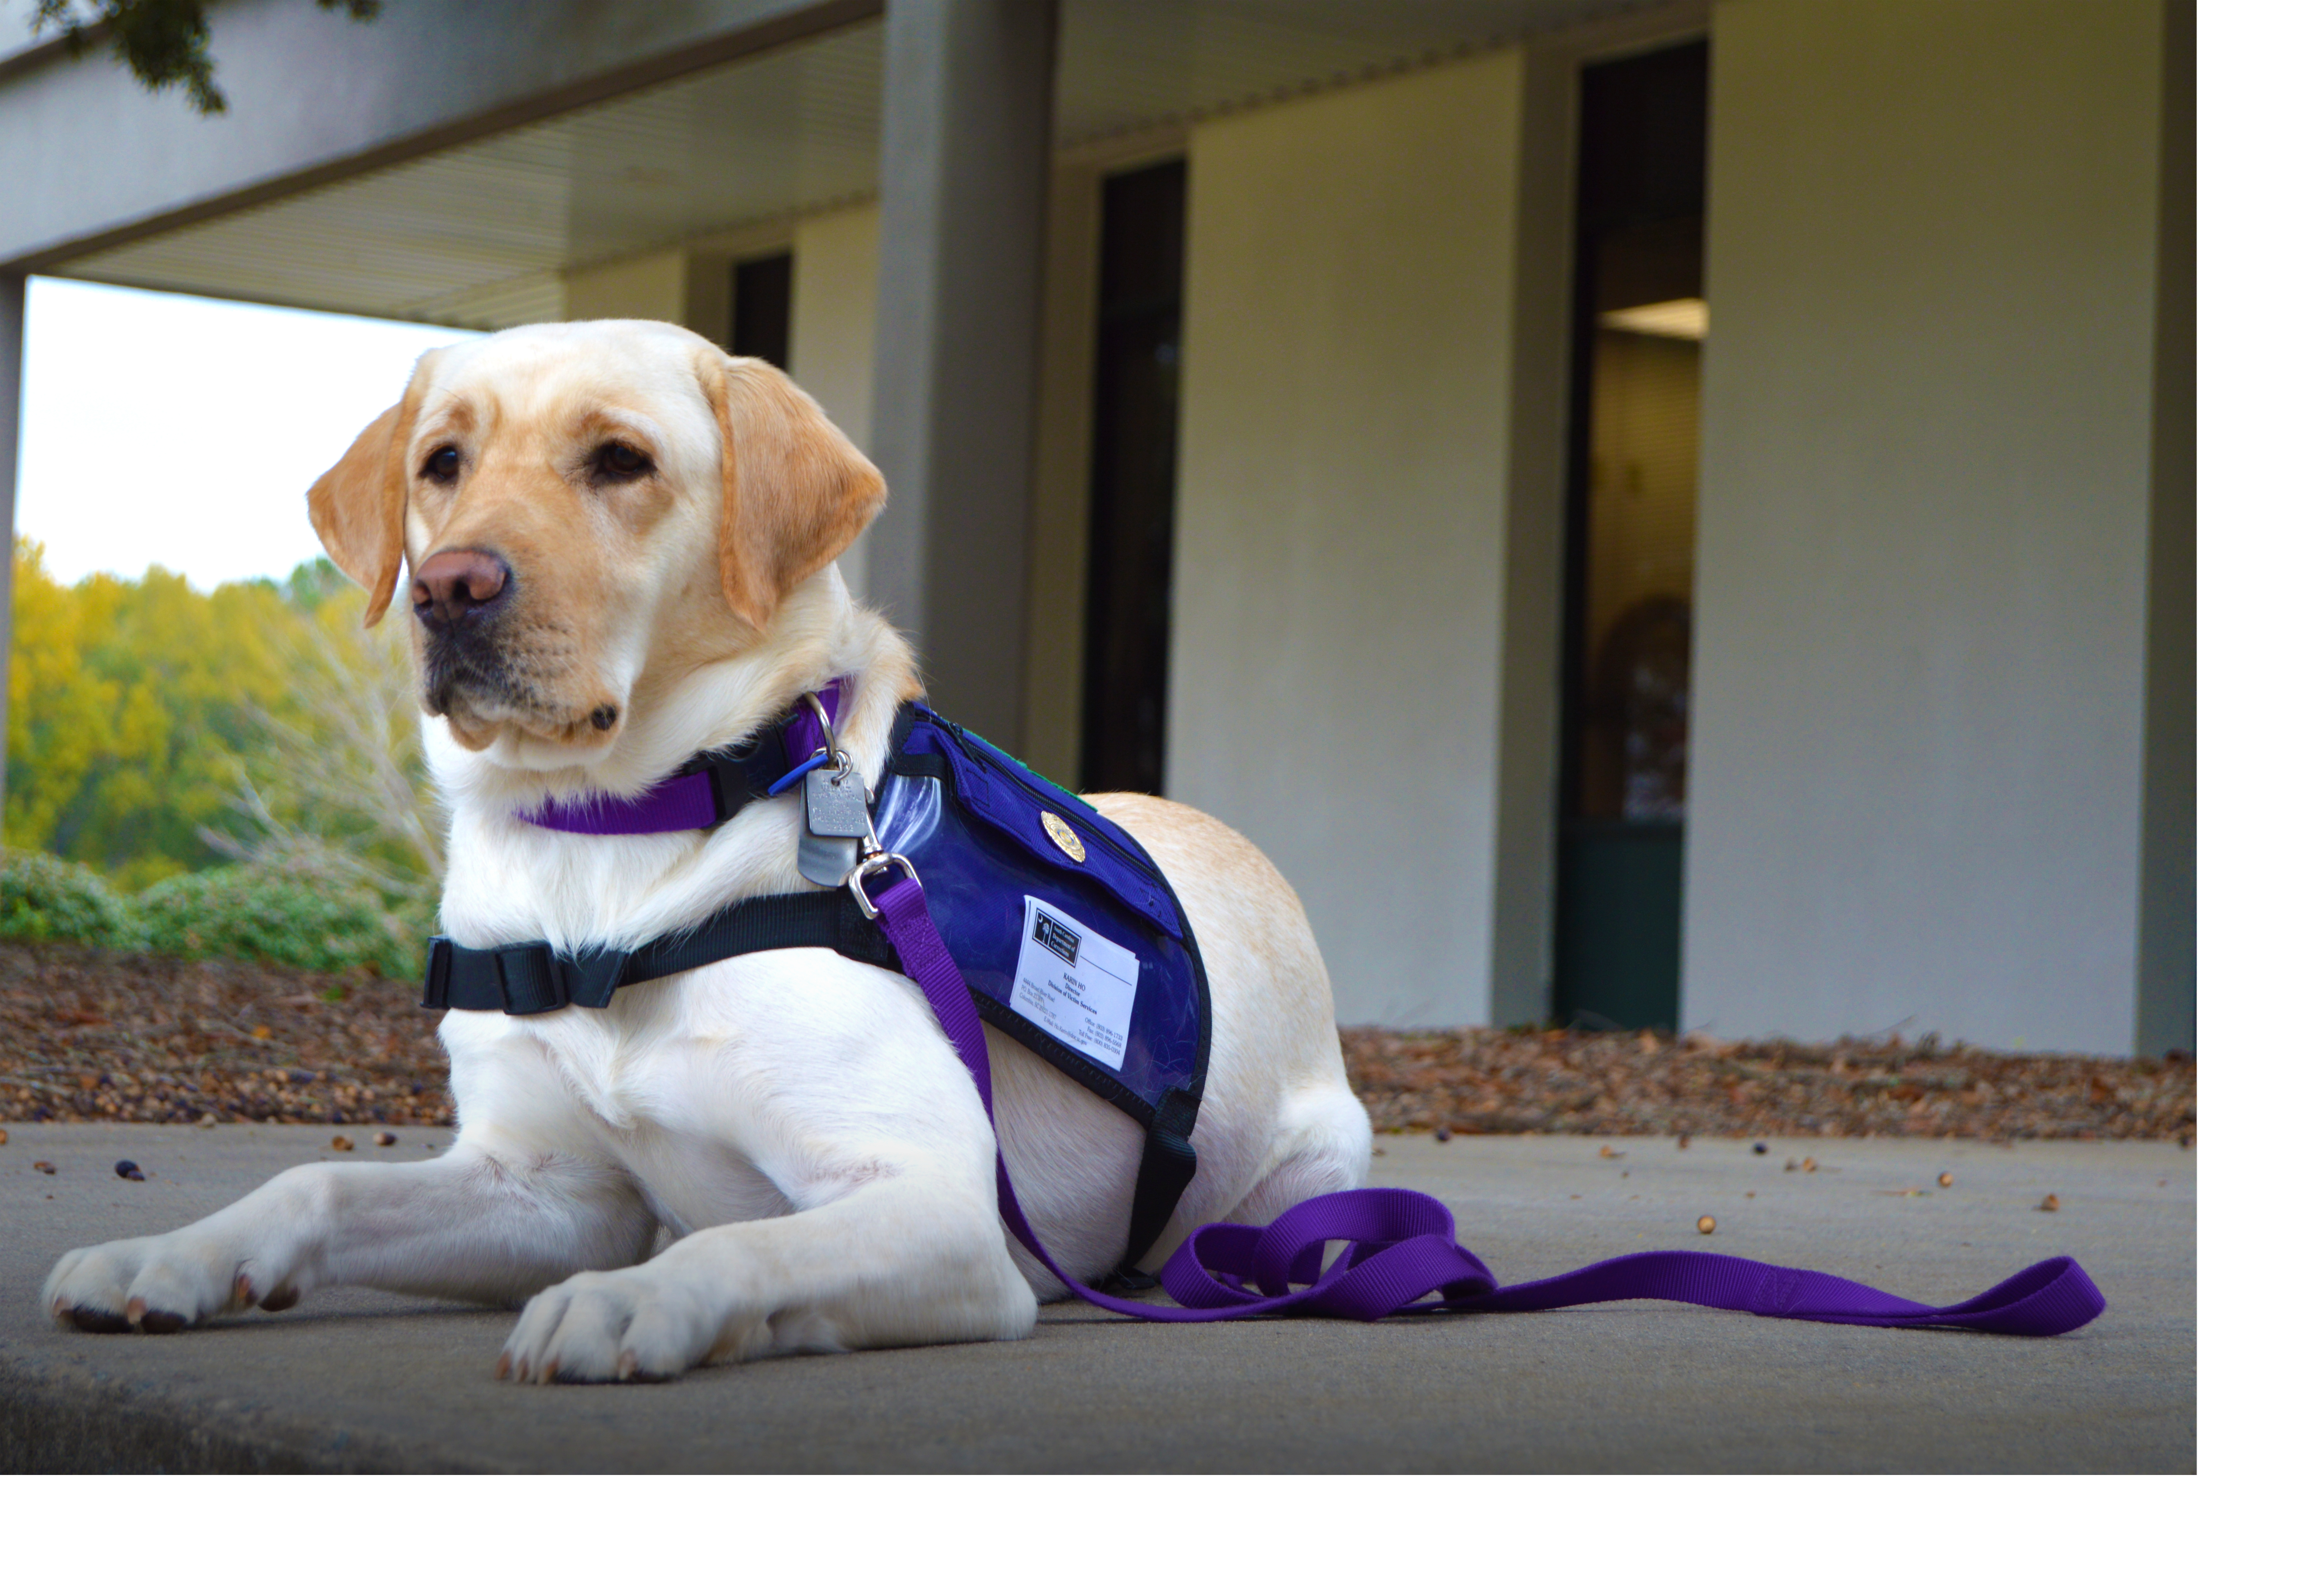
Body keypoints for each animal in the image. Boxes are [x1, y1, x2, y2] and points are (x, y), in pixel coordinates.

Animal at [36, 321, 1366, 1386]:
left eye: (620, 461)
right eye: (442, 463)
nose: (448, 588)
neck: (606, 846)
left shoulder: (942, 1205)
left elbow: (747, 1239)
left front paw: (630, 1302)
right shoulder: (549, 1189)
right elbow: (315, 1183)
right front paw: (171, 1257)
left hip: (1309, 1178)